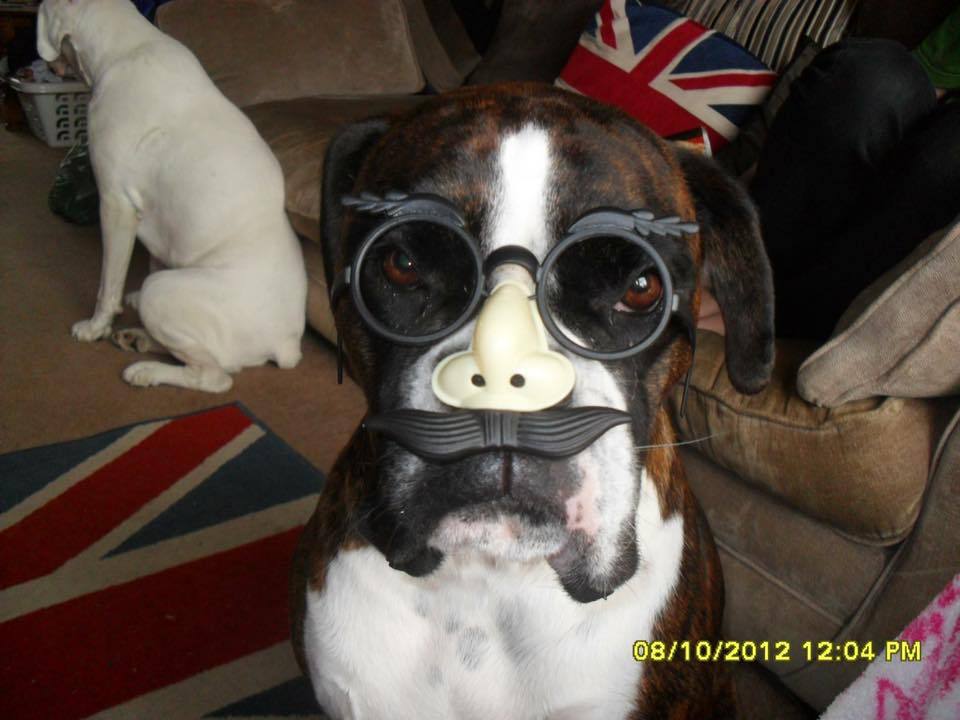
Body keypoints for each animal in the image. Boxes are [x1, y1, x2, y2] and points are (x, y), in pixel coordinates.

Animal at [37, 0, 304, 390]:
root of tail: (287, 343)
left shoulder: (114, 204)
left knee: (215, 377)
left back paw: (145, 370)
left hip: (162, 293)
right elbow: (155, 255)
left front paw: (95, 327)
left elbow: (108, 283)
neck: (124, 48)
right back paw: (137, 337)